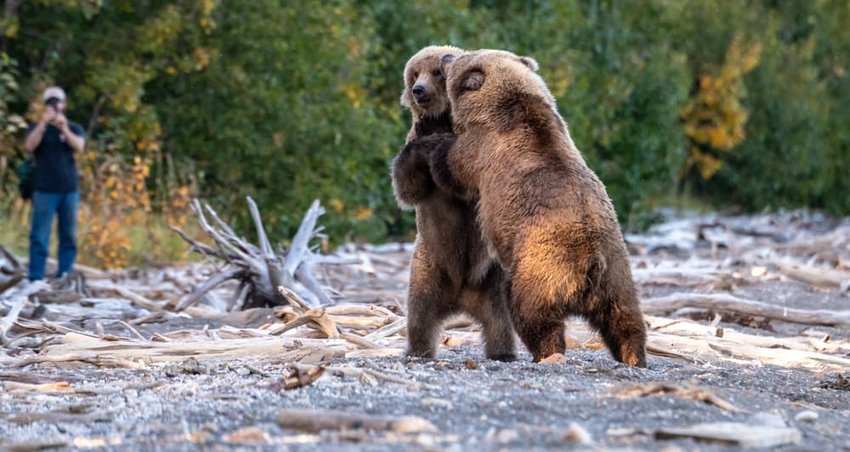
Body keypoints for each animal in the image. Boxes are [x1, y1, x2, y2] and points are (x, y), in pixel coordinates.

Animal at [388, 46, 512, 362]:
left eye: (435, 72)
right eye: (414, 73)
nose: (419, 90)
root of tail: (461, 297)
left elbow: (465, 186)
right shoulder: (413, 142)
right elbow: (409, 188)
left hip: (491, 278)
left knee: (500, 320)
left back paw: (503, 352)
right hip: (428, 267)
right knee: (419, 315)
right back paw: (419, 351)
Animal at [410, 49, 644, 368]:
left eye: (457, 61)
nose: (446, 55)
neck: (510, 102)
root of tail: (592, 261)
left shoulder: (482, 147)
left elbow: (453, 167)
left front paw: (434, 141)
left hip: (541, 265)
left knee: (532, 313)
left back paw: (546, 352)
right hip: (617, 272)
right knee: (625, 317)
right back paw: (633, 355)